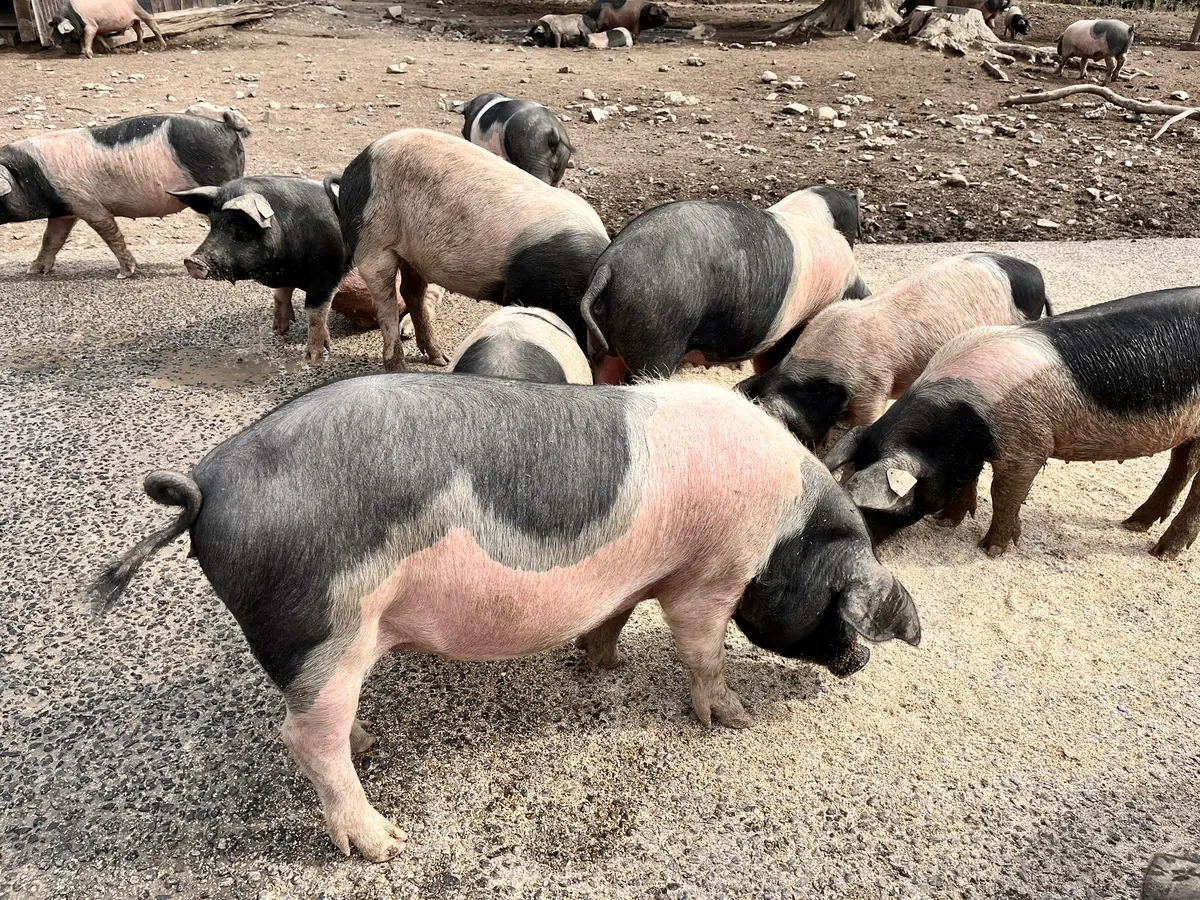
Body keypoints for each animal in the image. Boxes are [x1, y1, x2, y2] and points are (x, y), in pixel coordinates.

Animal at [1, 111, 248, 279]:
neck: (31, 176)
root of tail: (226, 126)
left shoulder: (88, 203)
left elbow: (110, 234)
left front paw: (124, 274)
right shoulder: (66, 209)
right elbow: (52, 238)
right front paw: (33, 271)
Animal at [90, 375, 921, 861]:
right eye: (847, 610)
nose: (860, 663)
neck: (787, 530)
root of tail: (208, 485)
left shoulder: (641, 576)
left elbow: (615, 615)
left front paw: (604, 663)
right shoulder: (711, 574)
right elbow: (701, 648)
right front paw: (734, 718)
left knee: (315, 720)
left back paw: (370, 740)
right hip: (325, 621)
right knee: (303, 737)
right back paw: (385, 845)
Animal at [171, 175, 433, 361]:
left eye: (242, 228)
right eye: (213, 224)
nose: (193, 261)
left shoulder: (327, 273)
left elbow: (315, 311)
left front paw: (314, 357)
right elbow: (281, 295)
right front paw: (279, 330)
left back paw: (407, 333)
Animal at [324, 128, 610, 372]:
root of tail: (351, 172)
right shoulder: (535, 290)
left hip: (413, 255)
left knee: (412, 293)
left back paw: (440, 358)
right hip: (373, 244)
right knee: (387, 305)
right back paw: (401, 368)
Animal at [824, 286, 1200, 559]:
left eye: (870, 508)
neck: (963, 417)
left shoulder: (1028, 443)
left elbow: (1003, 492)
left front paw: (992, 549)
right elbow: (972, 479)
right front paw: (945, 523)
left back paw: (1161, 553)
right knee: (1181, 465)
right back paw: (1134, 524)